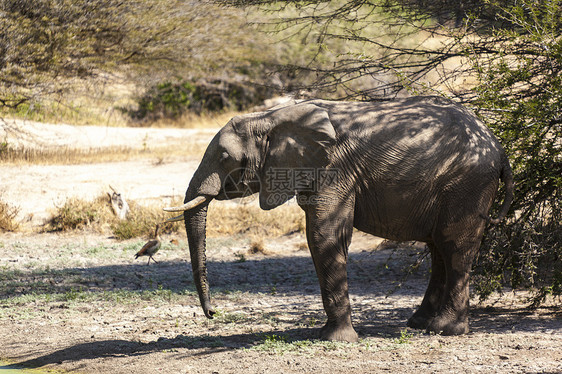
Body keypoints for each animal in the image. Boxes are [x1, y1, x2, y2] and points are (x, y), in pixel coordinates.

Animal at [163, 95, 512, 342]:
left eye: (225, 158)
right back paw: (419, 323)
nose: (212, 313)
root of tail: (498, 145)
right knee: (438, 247)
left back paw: (445, 330)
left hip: (468, 183)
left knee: (454, 246)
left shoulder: (334, 168)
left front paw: (335, 339)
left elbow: (324, 235)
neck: (271, 117)